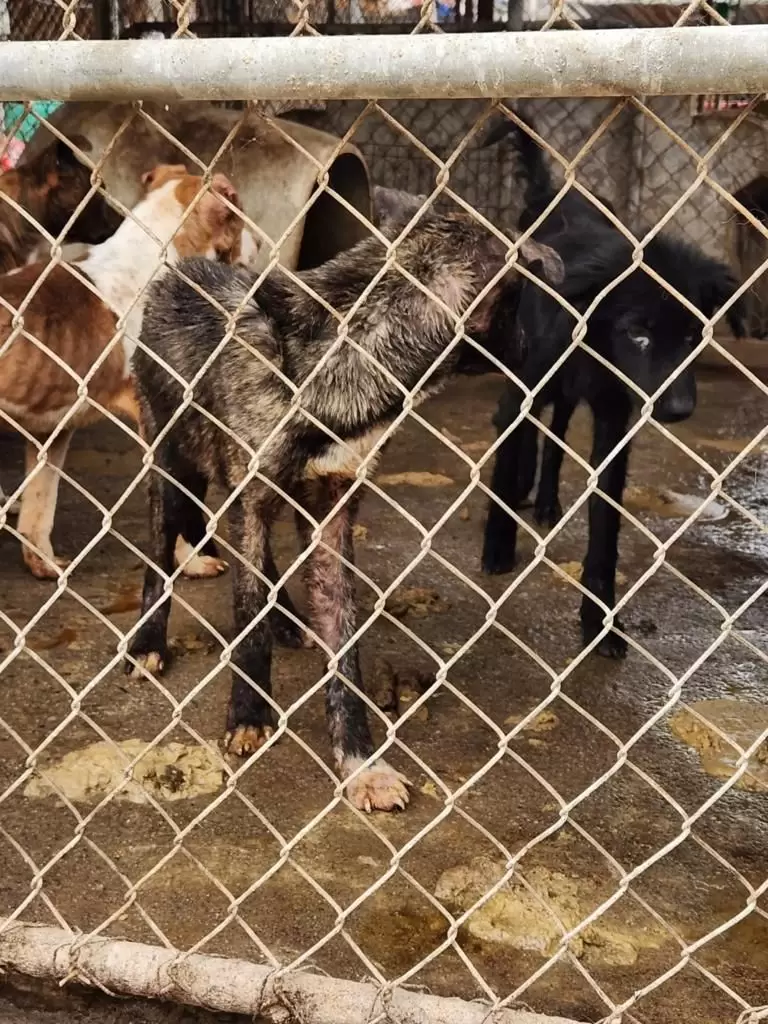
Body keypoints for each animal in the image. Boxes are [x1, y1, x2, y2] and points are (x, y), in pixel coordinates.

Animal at [0, 159, 256, 577]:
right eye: (239, 210)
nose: (262, 244)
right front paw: (192, 561)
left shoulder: (51, 431)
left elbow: (40, 507)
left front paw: (44, 564)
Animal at [124, 209, 561, 815]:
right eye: (519, 305)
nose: (535, 352)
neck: (333, 361)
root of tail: (179, 270)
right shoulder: (248, 500)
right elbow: (246, 616)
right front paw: (248, 715)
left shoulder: (331, 515)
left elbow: (344, 649)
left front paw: (361, 763)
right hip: (169, 465)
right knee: (160, 551)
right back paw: (147, 642)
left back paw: (288, 620)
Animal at [481, 112, 745, 655]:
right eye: (637, 333)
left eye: (693, 335)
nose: (680, 409)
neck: (596, 346)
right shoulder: (521, 389)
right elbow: (506, 453)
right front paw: (497, 544)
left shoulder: (614, 420)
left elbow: (605, 525)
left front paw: (600, 620)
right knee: (530, 431)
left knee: (557, 428)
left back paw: (544, 499)